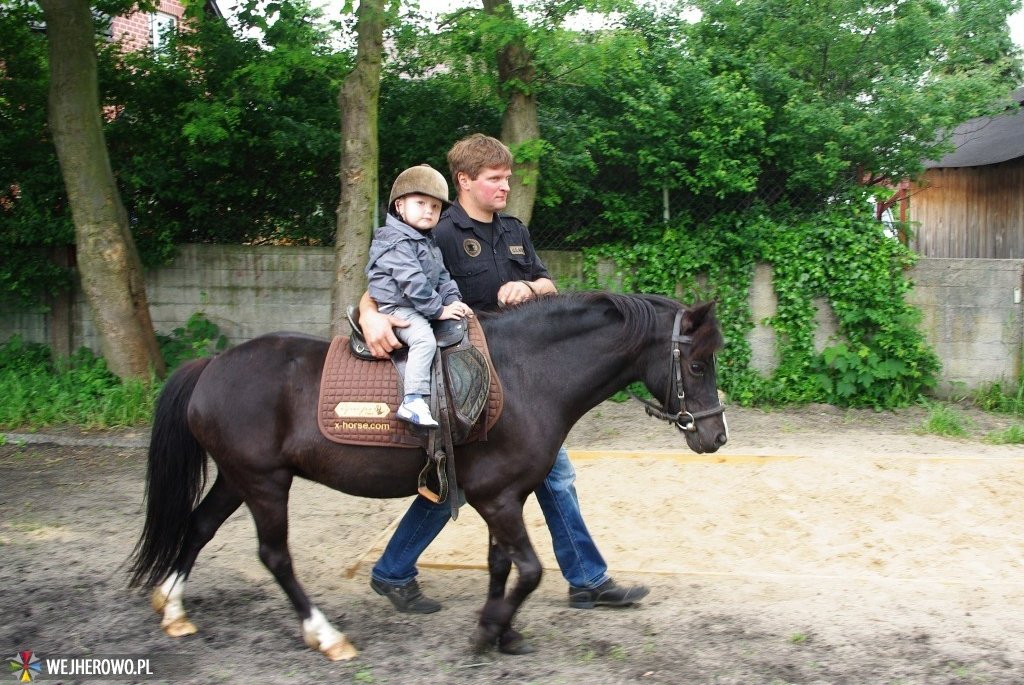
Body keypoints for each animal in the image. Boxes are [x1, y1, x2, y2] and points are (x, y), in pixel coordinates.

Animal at [128, 290, 729, 659]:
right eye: (698, 365)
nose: (716, 435)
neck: (527, 375)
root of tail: (213, 366)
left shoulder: (501, 496)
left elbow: (500, 567)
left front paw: (503, 630)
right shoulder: (498, 499)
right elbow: (530, 570)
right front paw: (488, 630)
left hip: (238, 478)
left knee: (198, 527)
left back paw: (173, 607)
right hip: (265, 484)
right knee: (274, 556)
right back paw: (325, 635)